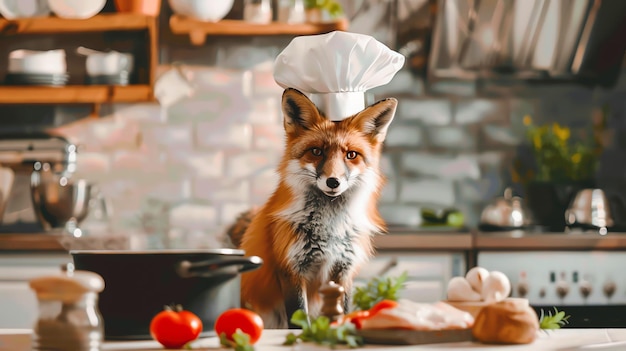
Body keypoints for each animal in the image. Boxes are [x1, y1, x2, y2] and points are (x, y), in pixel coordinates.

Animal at [229, 88, 394, 330]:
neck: (330, 229)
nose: (333, 182)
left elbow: (344, 311)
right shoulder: (291, 269)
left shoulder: (344, 270)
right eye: (316, 151)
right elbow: (299, 317)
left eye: (351, 155)